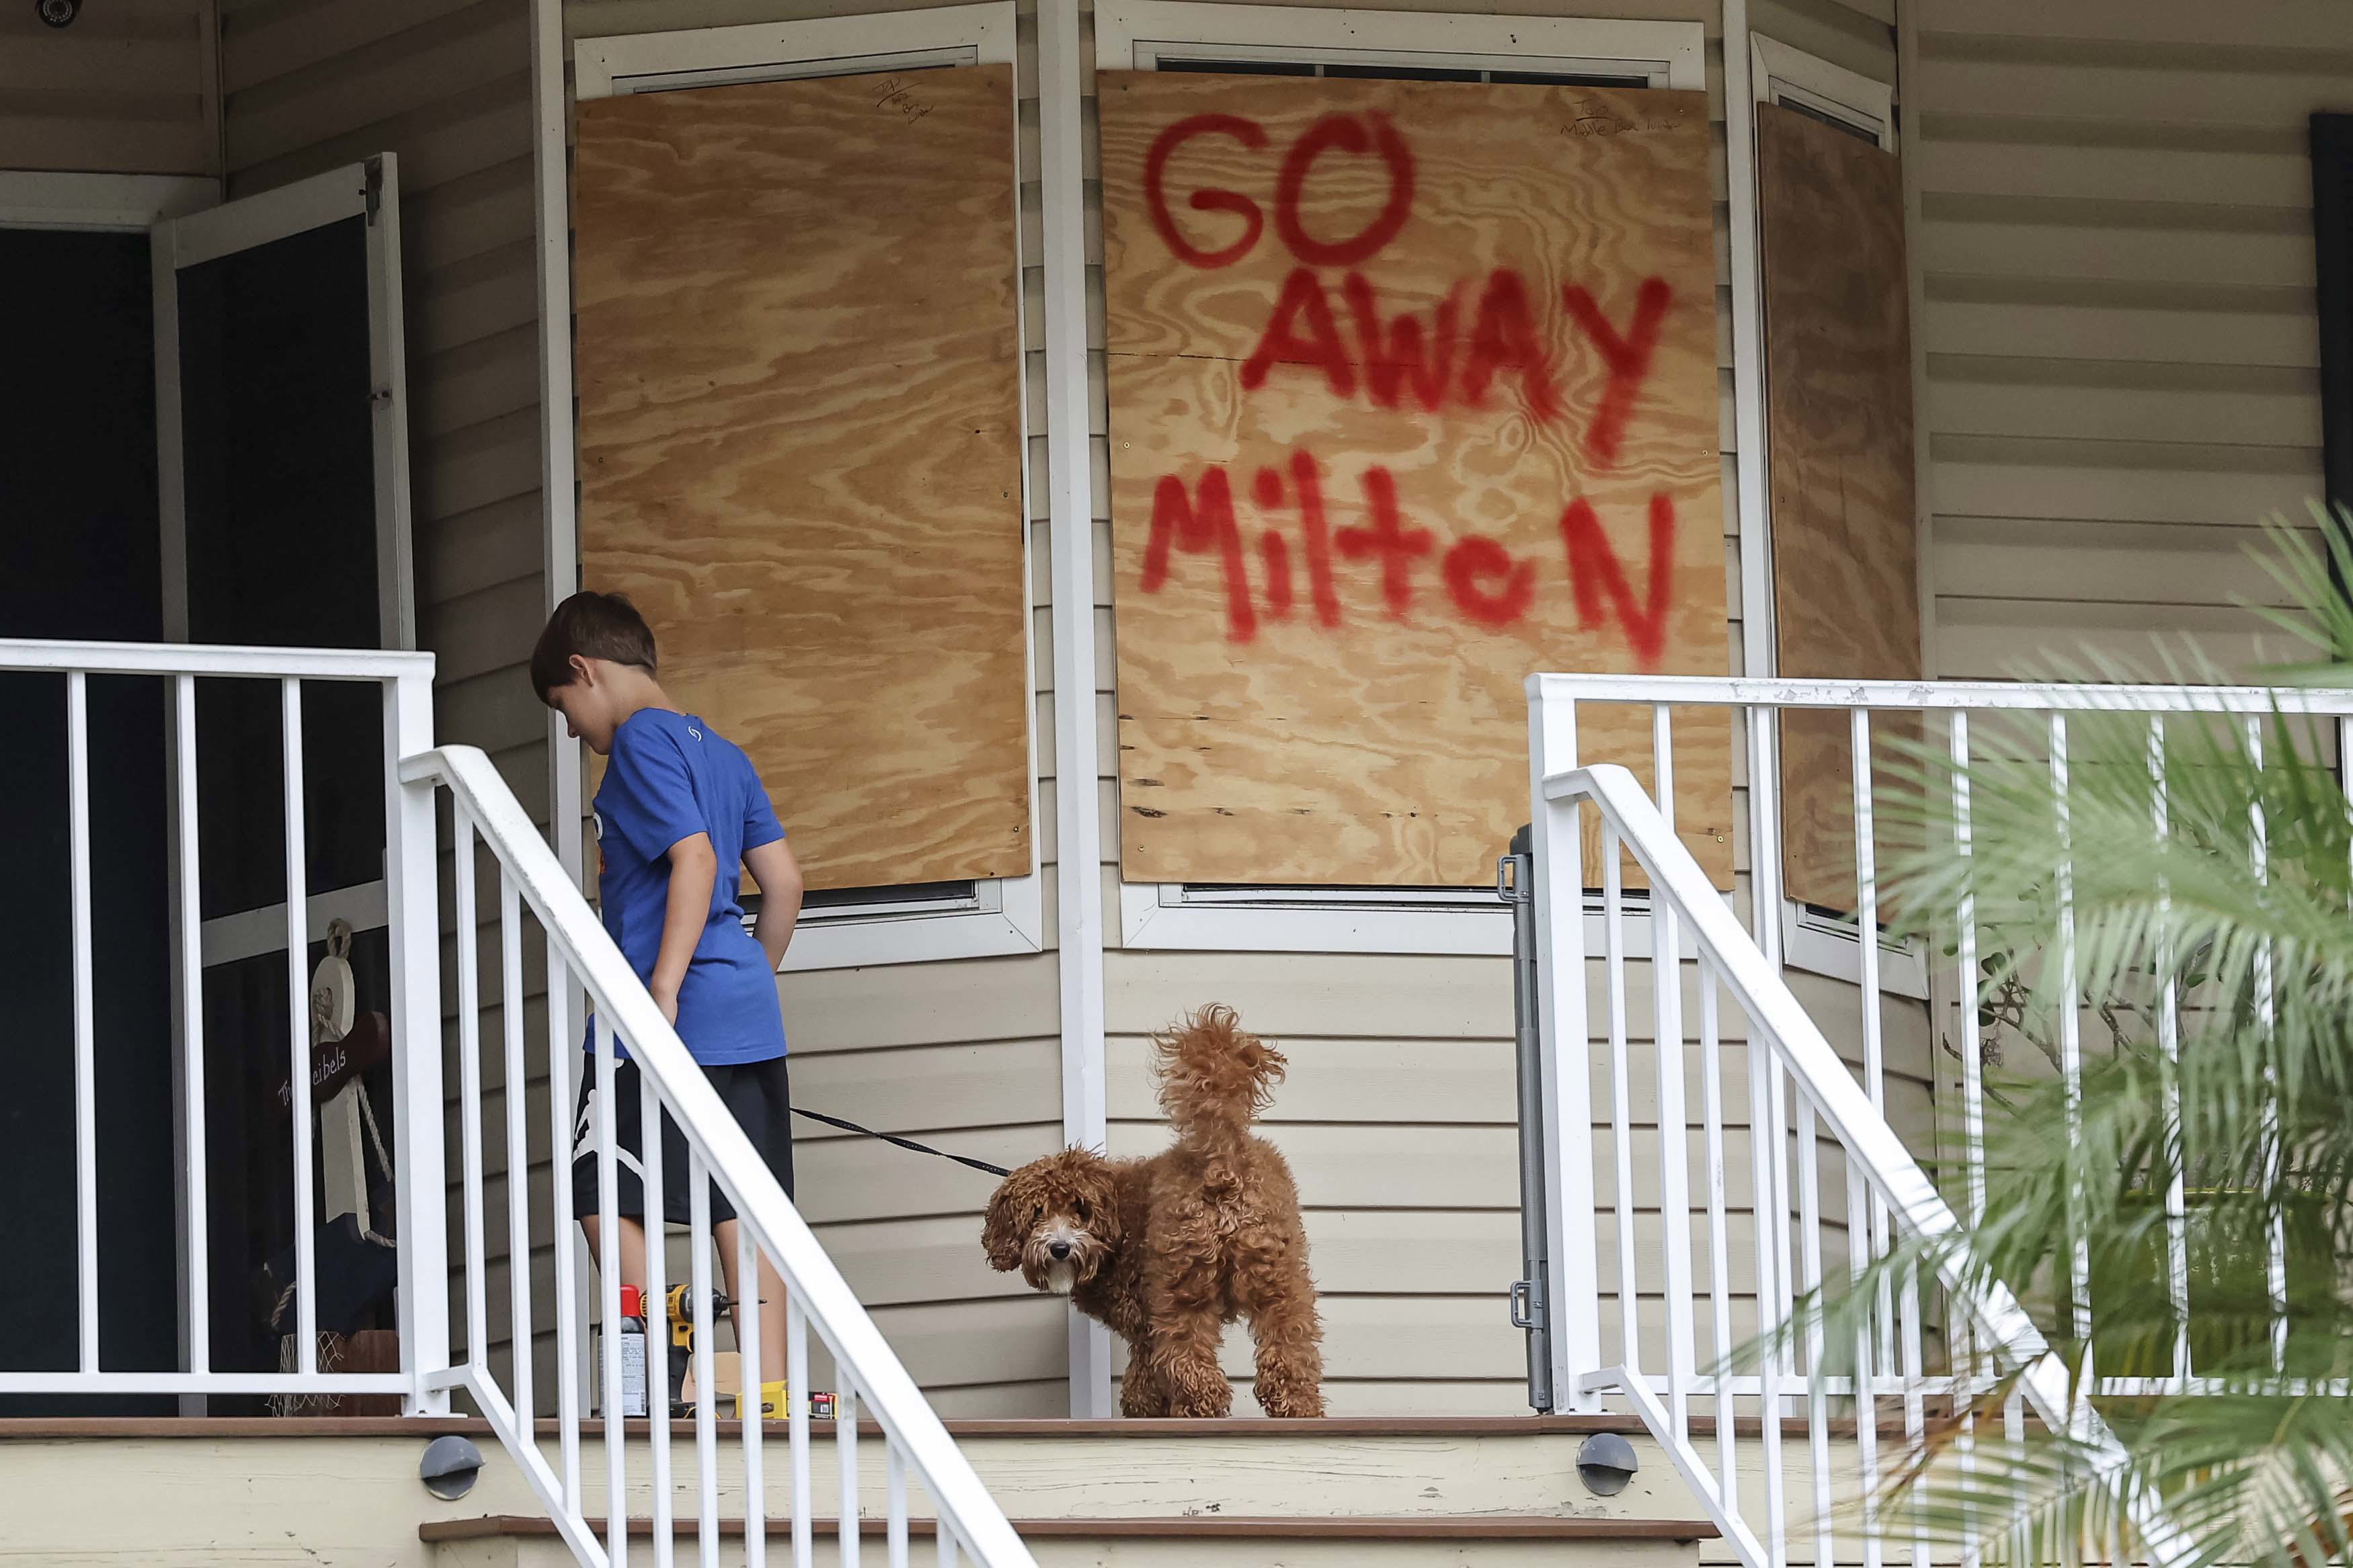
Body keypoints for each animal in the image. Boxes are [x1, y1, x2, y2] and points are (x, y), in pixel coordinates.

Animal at [974, 1006, 1327, 1419]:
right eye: (1036, 1214)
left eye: (1081, 1210)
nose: (1060, 1249)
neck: (1114, 1231)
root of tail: (1222, 1159)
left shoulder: (1144, 1322)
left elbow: (1144, 1380)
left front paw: (1144, 1408)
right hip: (1275, 1271)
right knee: (1291, 1342)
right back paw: (1298, 1406)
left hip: (1181, 1283)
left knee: (1190, 1358)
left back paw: (1198, 1409)